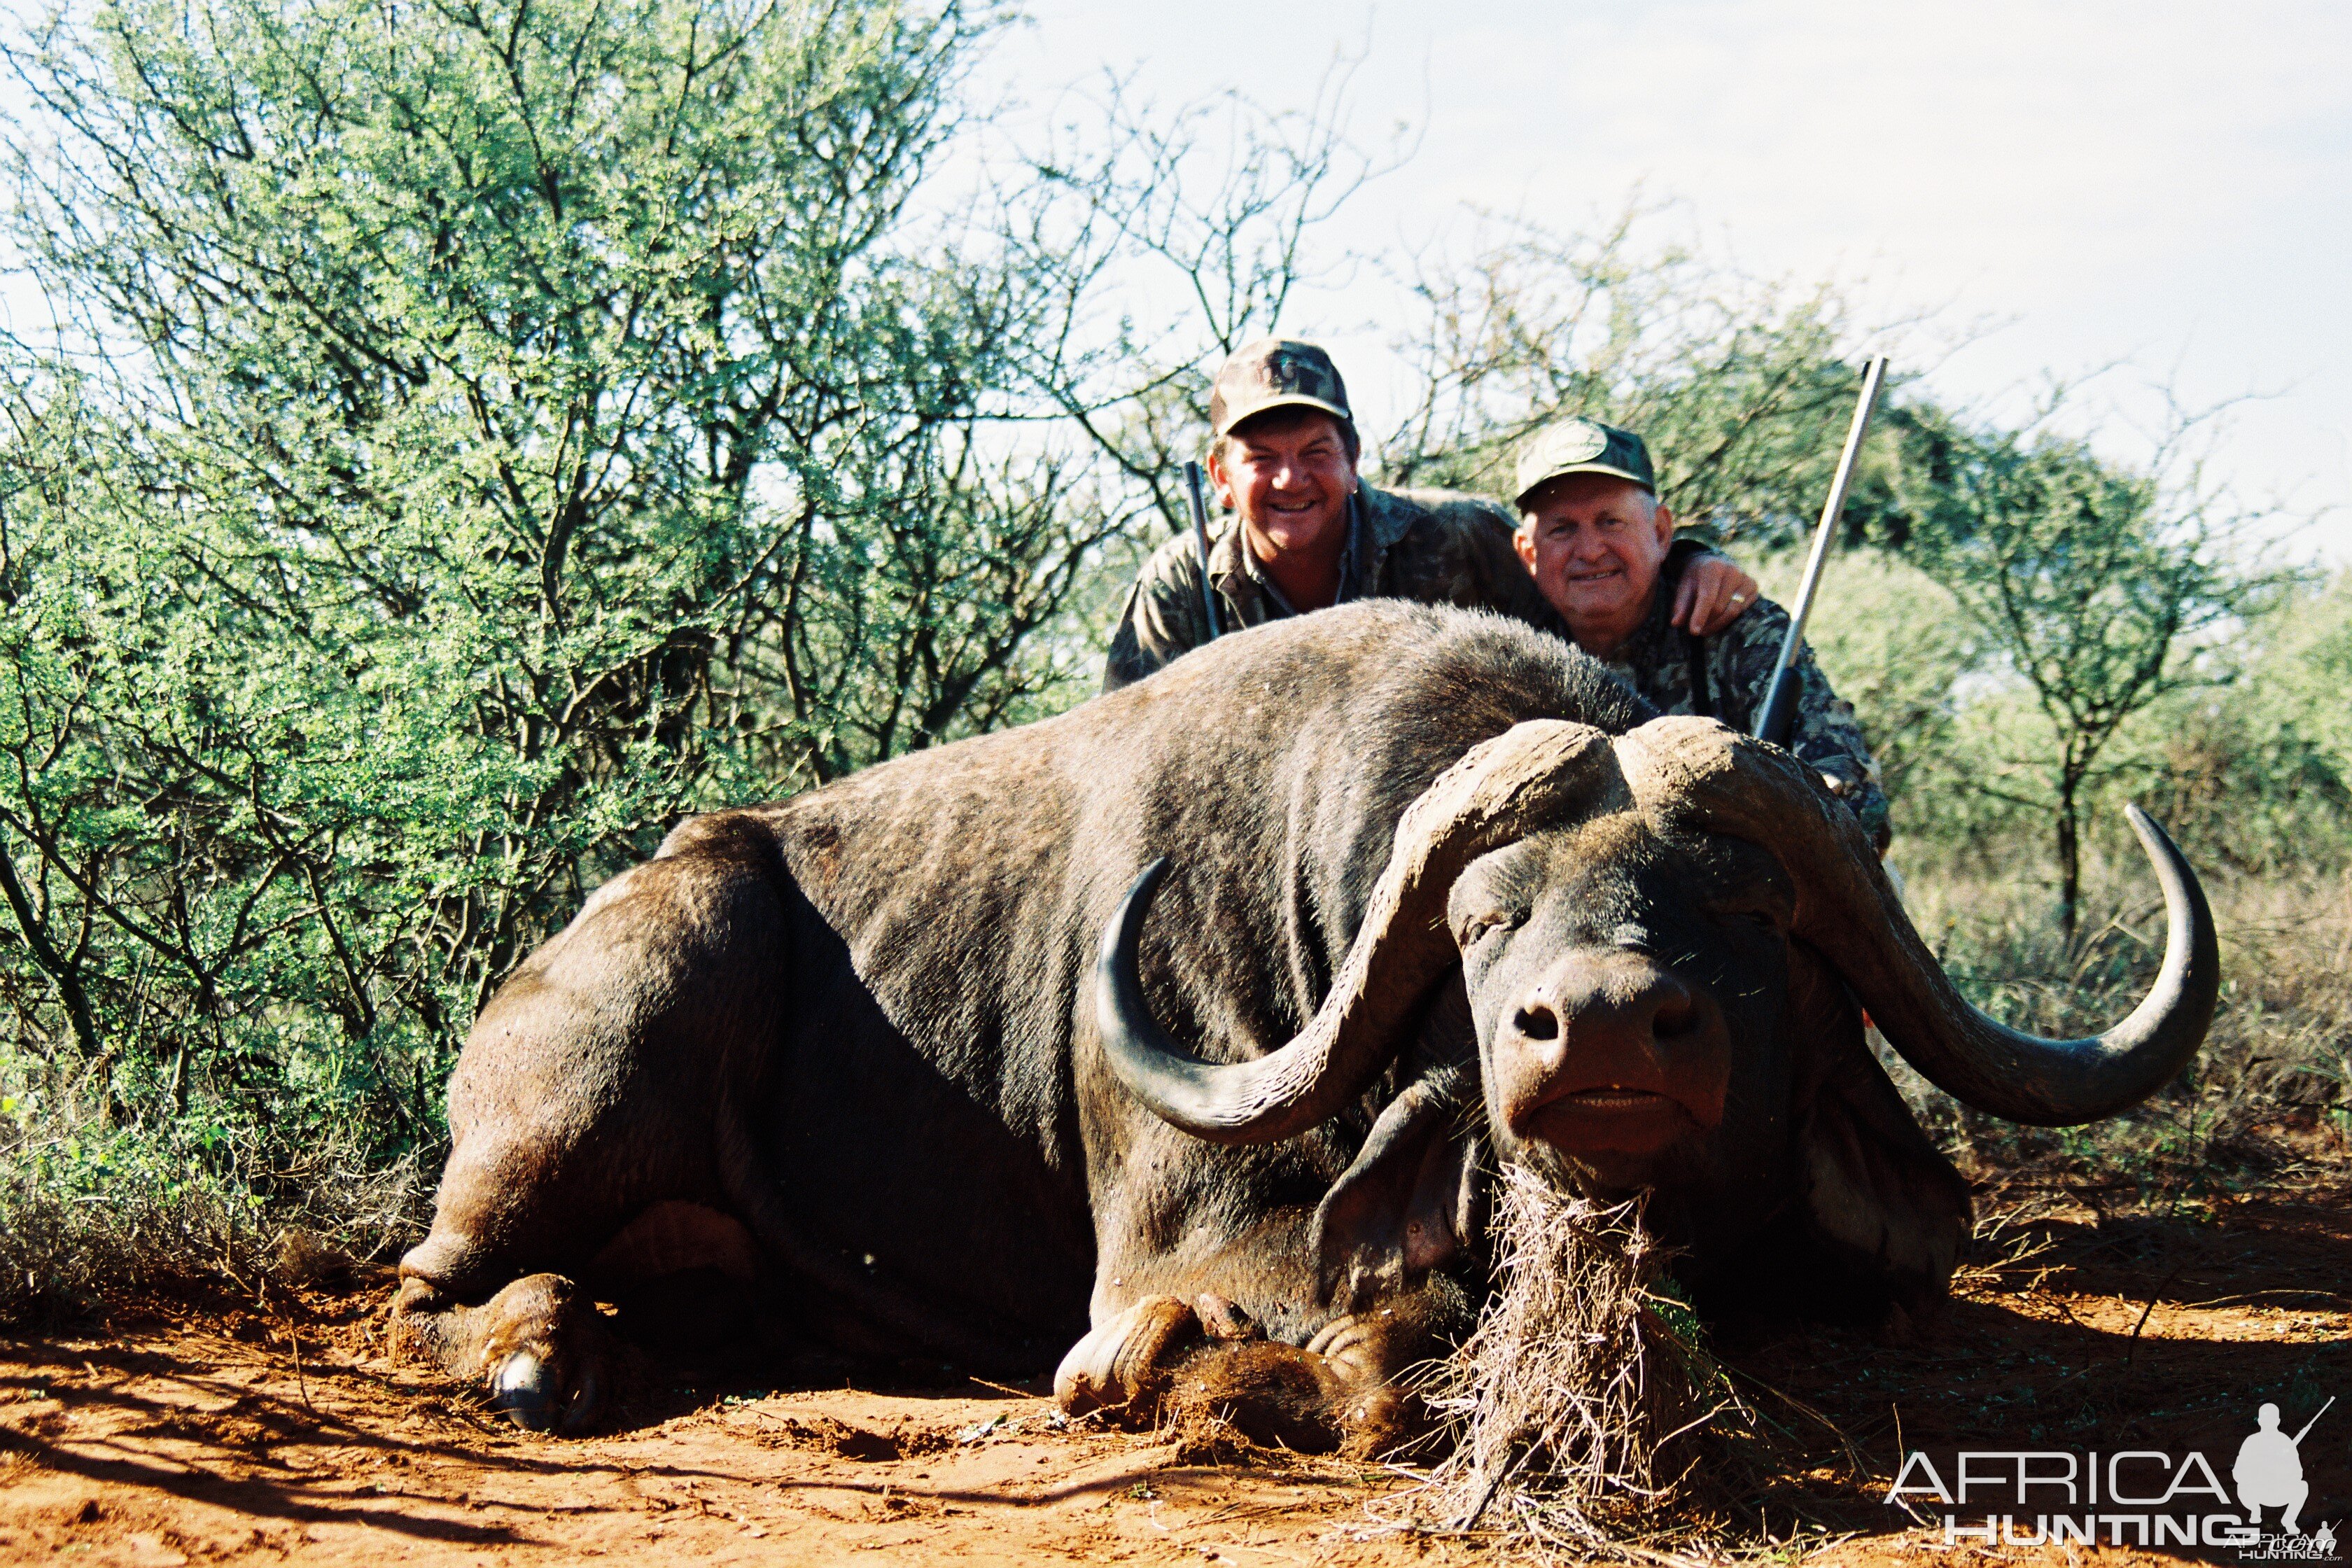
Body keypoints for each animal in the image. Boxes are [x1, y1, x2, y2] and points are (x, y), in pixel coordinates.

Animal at [390, 601, 2220, 1448]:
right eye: (1483, 923)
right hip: (604, 1060)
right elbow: (1374, 1324)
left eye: (1753, 910)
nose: (1602, 1030)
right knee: (426, 1288)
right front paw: (1188, 1372)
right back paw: (542, 1356)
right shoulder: (1187, 1244)